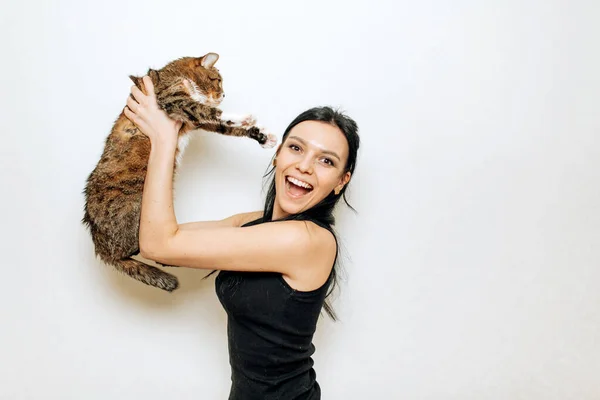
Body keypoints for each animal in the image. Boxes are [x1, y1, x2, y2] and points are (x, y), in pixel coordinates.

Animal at [82, 52, 274, 290]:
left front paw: (261, 135)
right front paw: (243, 117)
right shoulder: (173, 99)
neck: (178, 75)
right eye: (217, 80)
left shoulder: (197, 121)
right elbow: (211, 111)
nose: (224, 94)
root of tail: (100, 246)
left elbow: (223, 125)